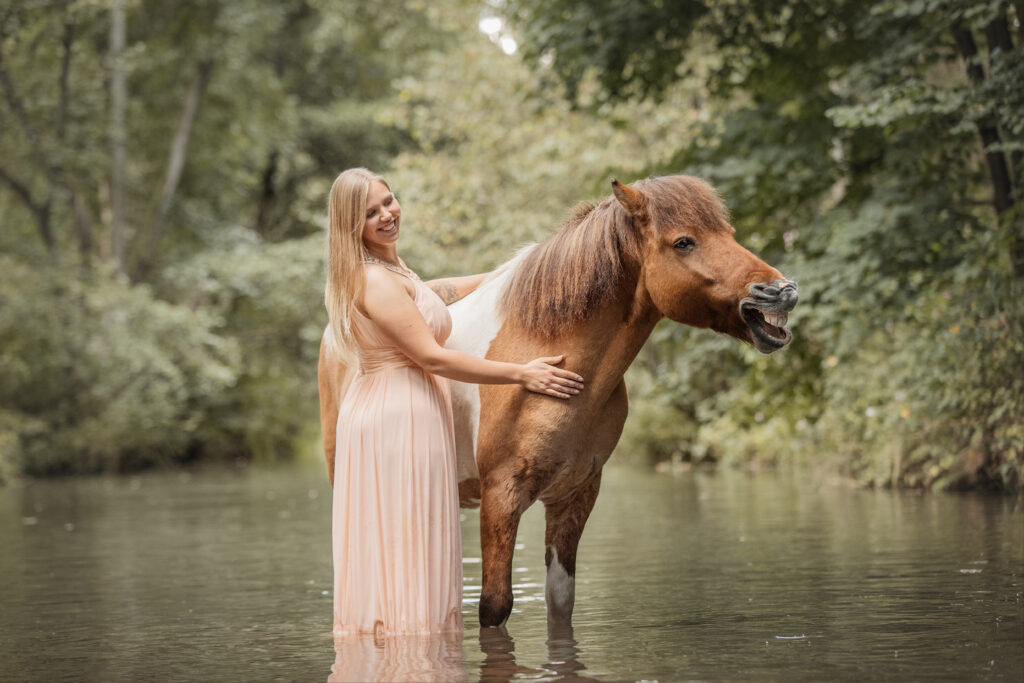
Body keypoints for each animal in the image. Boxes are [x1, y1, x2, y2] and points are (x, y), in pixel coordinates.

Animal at [315, 178, 794, 630]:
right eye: (683, 242)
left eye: (729, 233)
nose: (781, 291)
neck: (553, 353)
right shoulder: (501, 496)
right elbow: (494, 606)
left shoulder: (575, 495)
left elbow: (560, 602)